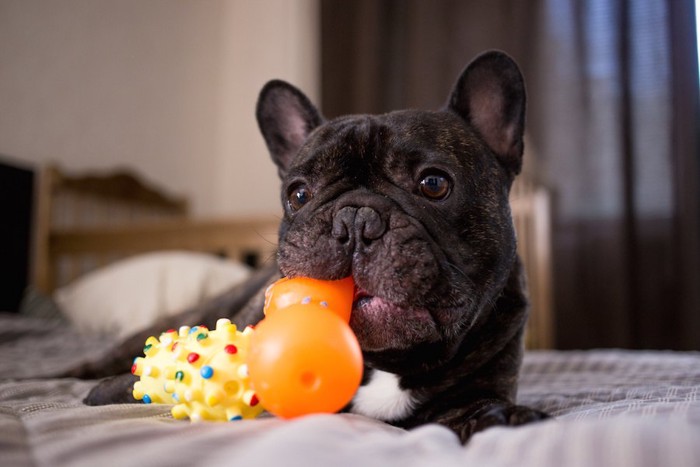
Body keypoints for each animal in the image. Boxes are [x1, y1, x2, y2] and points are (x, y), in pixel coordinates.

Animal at [83, 50, 548, 442]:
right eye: (299, 194)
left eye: (434, 183)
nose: (356, 219)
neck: (388, 362)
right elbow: (127, 387)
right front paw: (106, 391)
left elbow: (475, 410)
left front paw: (505, 418)